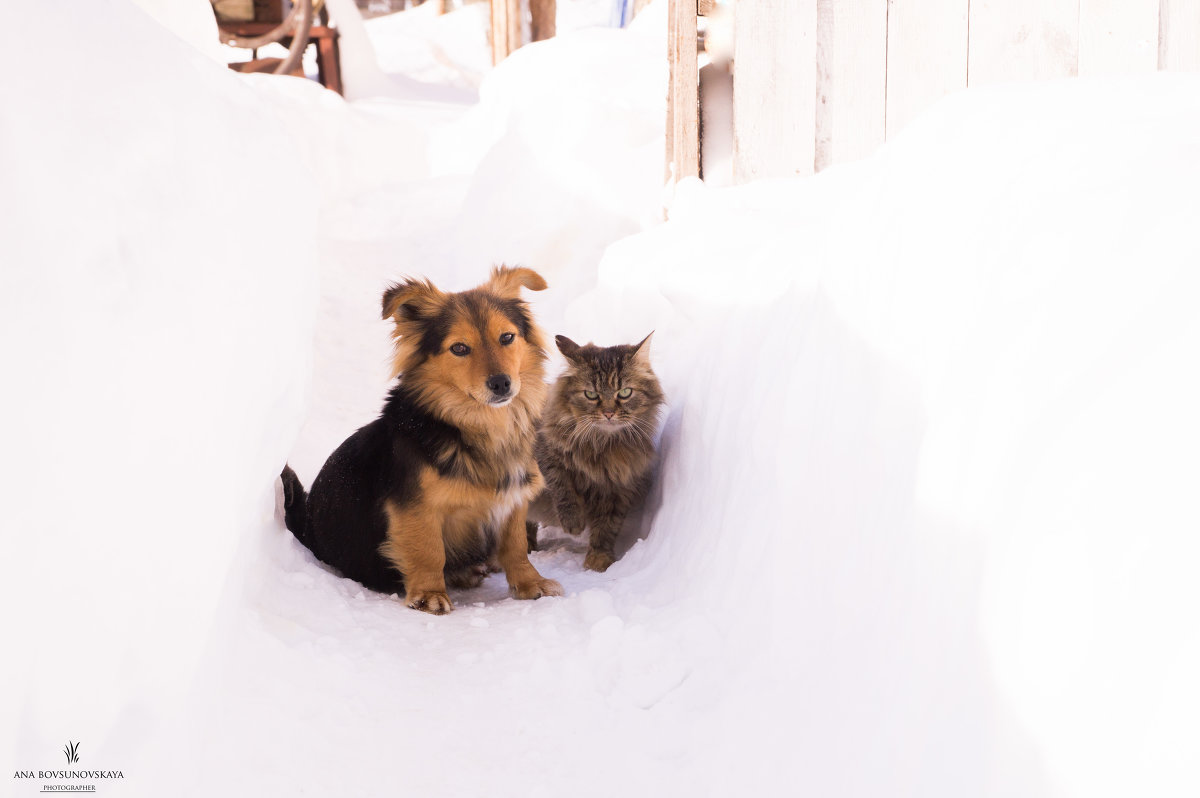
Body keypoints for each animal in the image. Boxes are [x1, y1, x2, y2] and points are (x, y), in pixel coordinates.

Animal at [280, 264, 561, 612]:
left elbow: (516, 546)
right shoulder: (415, 508)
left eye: (507, 337)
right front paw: (429, 595)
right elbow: (428, 550)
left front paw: (530, 583)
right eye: (459, 348)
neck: (480, 425)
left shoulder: (512, 500)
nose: (501, 383)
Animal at [530, 333, 667, 568]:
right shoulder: (546, 455)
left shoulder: (618, 487)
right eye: (591, 395)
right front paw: (573, 524)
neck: (603, 445)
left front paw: (599, 560)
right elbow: (562, 489)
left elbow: (607, 527)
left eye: (625, 392)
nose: (609, 413)